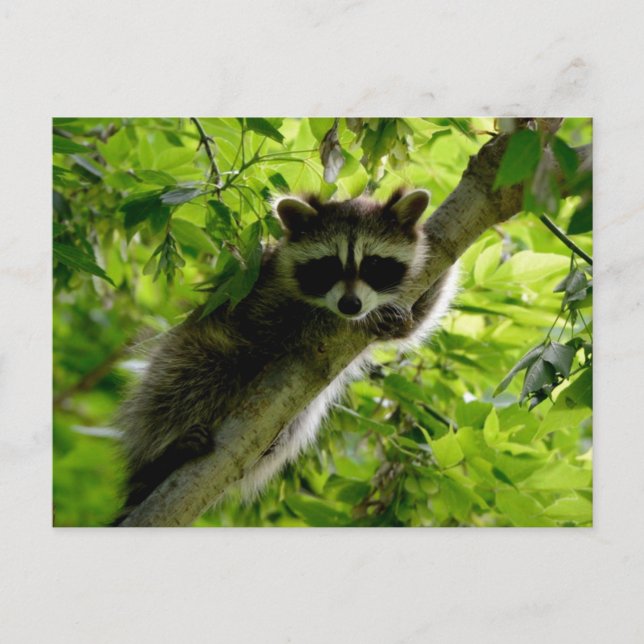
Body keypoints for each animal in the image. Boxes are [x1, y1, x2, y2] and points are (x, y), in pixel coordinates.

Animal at [114, 188, 458, 523]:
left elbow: (417, 317)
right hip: (186, 351)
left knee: (297, 419)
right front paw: (335, 319)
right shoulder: (262, 293)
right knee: (191, 377)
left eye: (373, 264)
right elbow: (281, 327)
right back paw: (162, 455)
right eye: (328, 265)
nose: (350, 306)